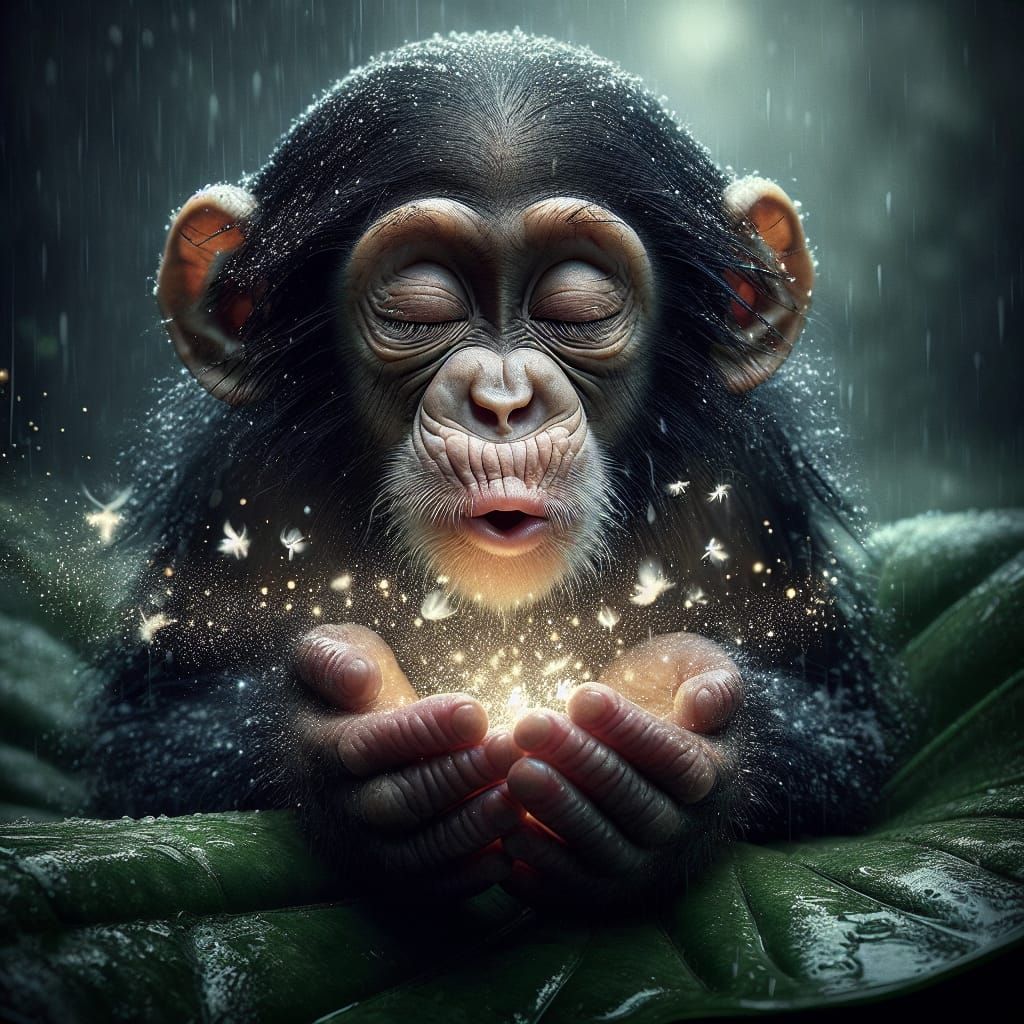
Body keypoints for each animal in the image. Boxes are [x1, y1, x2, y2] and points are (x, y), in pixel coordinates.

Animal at [88, 31, 911, 908]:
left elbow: (843, 721)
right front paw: (339, 753)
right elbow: (145, 736)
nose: (503, 402)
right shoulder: (240, 482)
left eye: (576, 308)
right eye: (420, 310)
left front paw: (686, 763)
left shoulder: (747, 485)